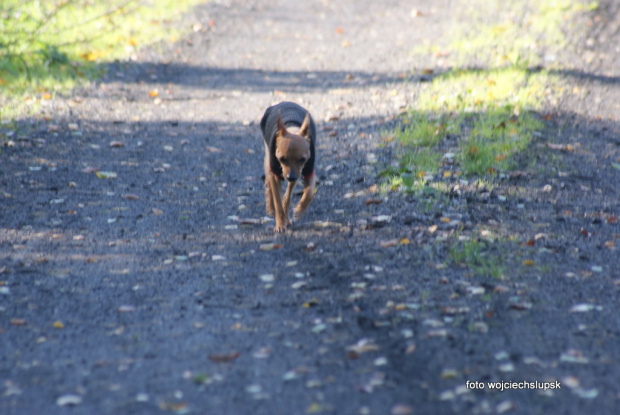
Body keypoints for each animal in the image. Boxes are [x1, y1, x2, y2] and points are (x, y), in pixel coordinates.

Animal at [258, 101, 314, 232]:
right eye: (282, 159)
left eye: (302, 160)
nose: (290, 176)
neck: (292, 129)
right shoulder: (275, 174)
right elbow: (277, 202)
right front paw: (280, 224)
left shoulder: (307, 171)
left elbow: (309, 192)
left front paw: (299, 209)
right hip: (268, 160)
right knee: (269, 183)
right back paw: (271, 206)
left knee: (287, 194)